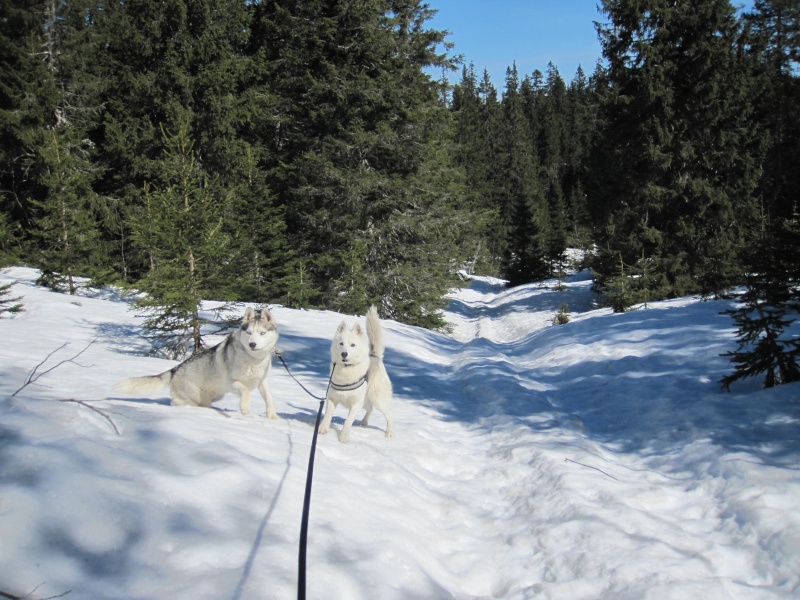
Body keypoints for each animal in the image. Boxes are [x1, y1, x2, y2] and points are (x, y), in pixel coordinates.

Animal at [115, 308, 278, 414]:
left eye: (262, 333)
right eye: (249, 333)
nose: (252, 344)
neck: (253, 360)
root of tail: (175, 370)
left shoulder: (262, 382)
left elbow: (270, 400)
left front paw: (273, 418)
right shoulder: (232, 382)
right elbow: (245, 391)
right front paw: (245, 408)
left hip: (214, 396)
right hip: (194, 396)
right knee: (176, 402)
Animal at [318, 304, 394, 440]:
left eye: (352, 345)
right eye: (341, 343)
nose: (344, 354)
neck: (347, 370)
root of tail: (375, 357)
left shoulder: (356, 404)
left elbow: (348, 421)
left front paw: (343, 437)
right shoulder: (332, 399)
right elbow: (328, 415)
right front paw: (322, 429)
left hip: (377, 398)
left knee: (389, 415)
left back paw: (390, 433)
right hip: (366, 400)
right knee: (370, 409)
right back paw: (364, 422)